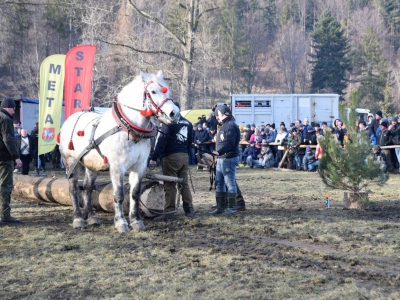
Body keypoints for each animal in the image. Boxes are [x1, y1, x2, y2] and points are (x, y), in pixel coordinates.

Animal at [58, 70, 179, 232]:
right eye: (153, 91)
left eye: (168, 91)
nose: (174, 113)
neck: (129, 129)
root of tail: (70, 119)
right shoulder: (117, 167)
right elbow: (118, 195)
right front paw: (121, 222)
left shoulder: (139, 166)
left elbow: (135, 194)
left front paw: (136, 221)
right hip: (71, 162)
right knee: (73, 189)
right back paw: (78, 219)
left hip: (91, 165)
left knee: (88, 188)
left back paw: (91, 216)